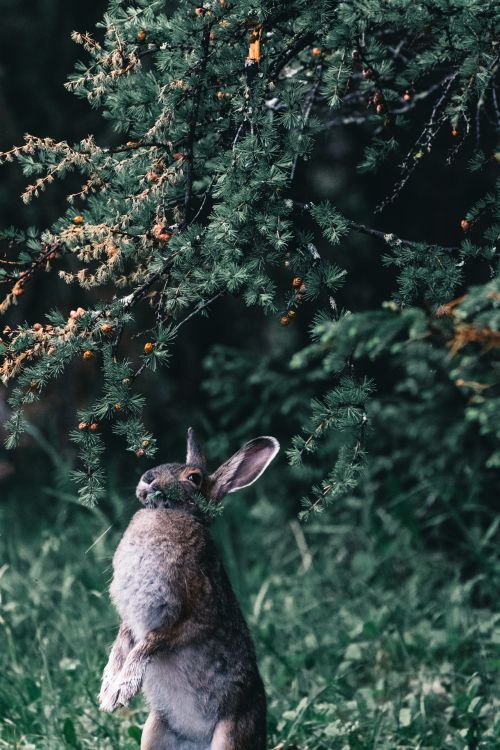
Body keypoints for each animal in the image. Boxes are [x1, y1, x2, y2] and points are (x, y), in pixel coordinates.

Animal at [99, 427, 279, 750]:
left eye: (194, 478)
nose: (148, 477)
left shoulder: (189, 617)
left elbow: (147, 645)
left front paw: (120, 692)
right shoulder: (129, 619)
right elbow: (120, 646)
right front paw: (107, 690)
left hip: (229, 734)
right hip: (154, 730)